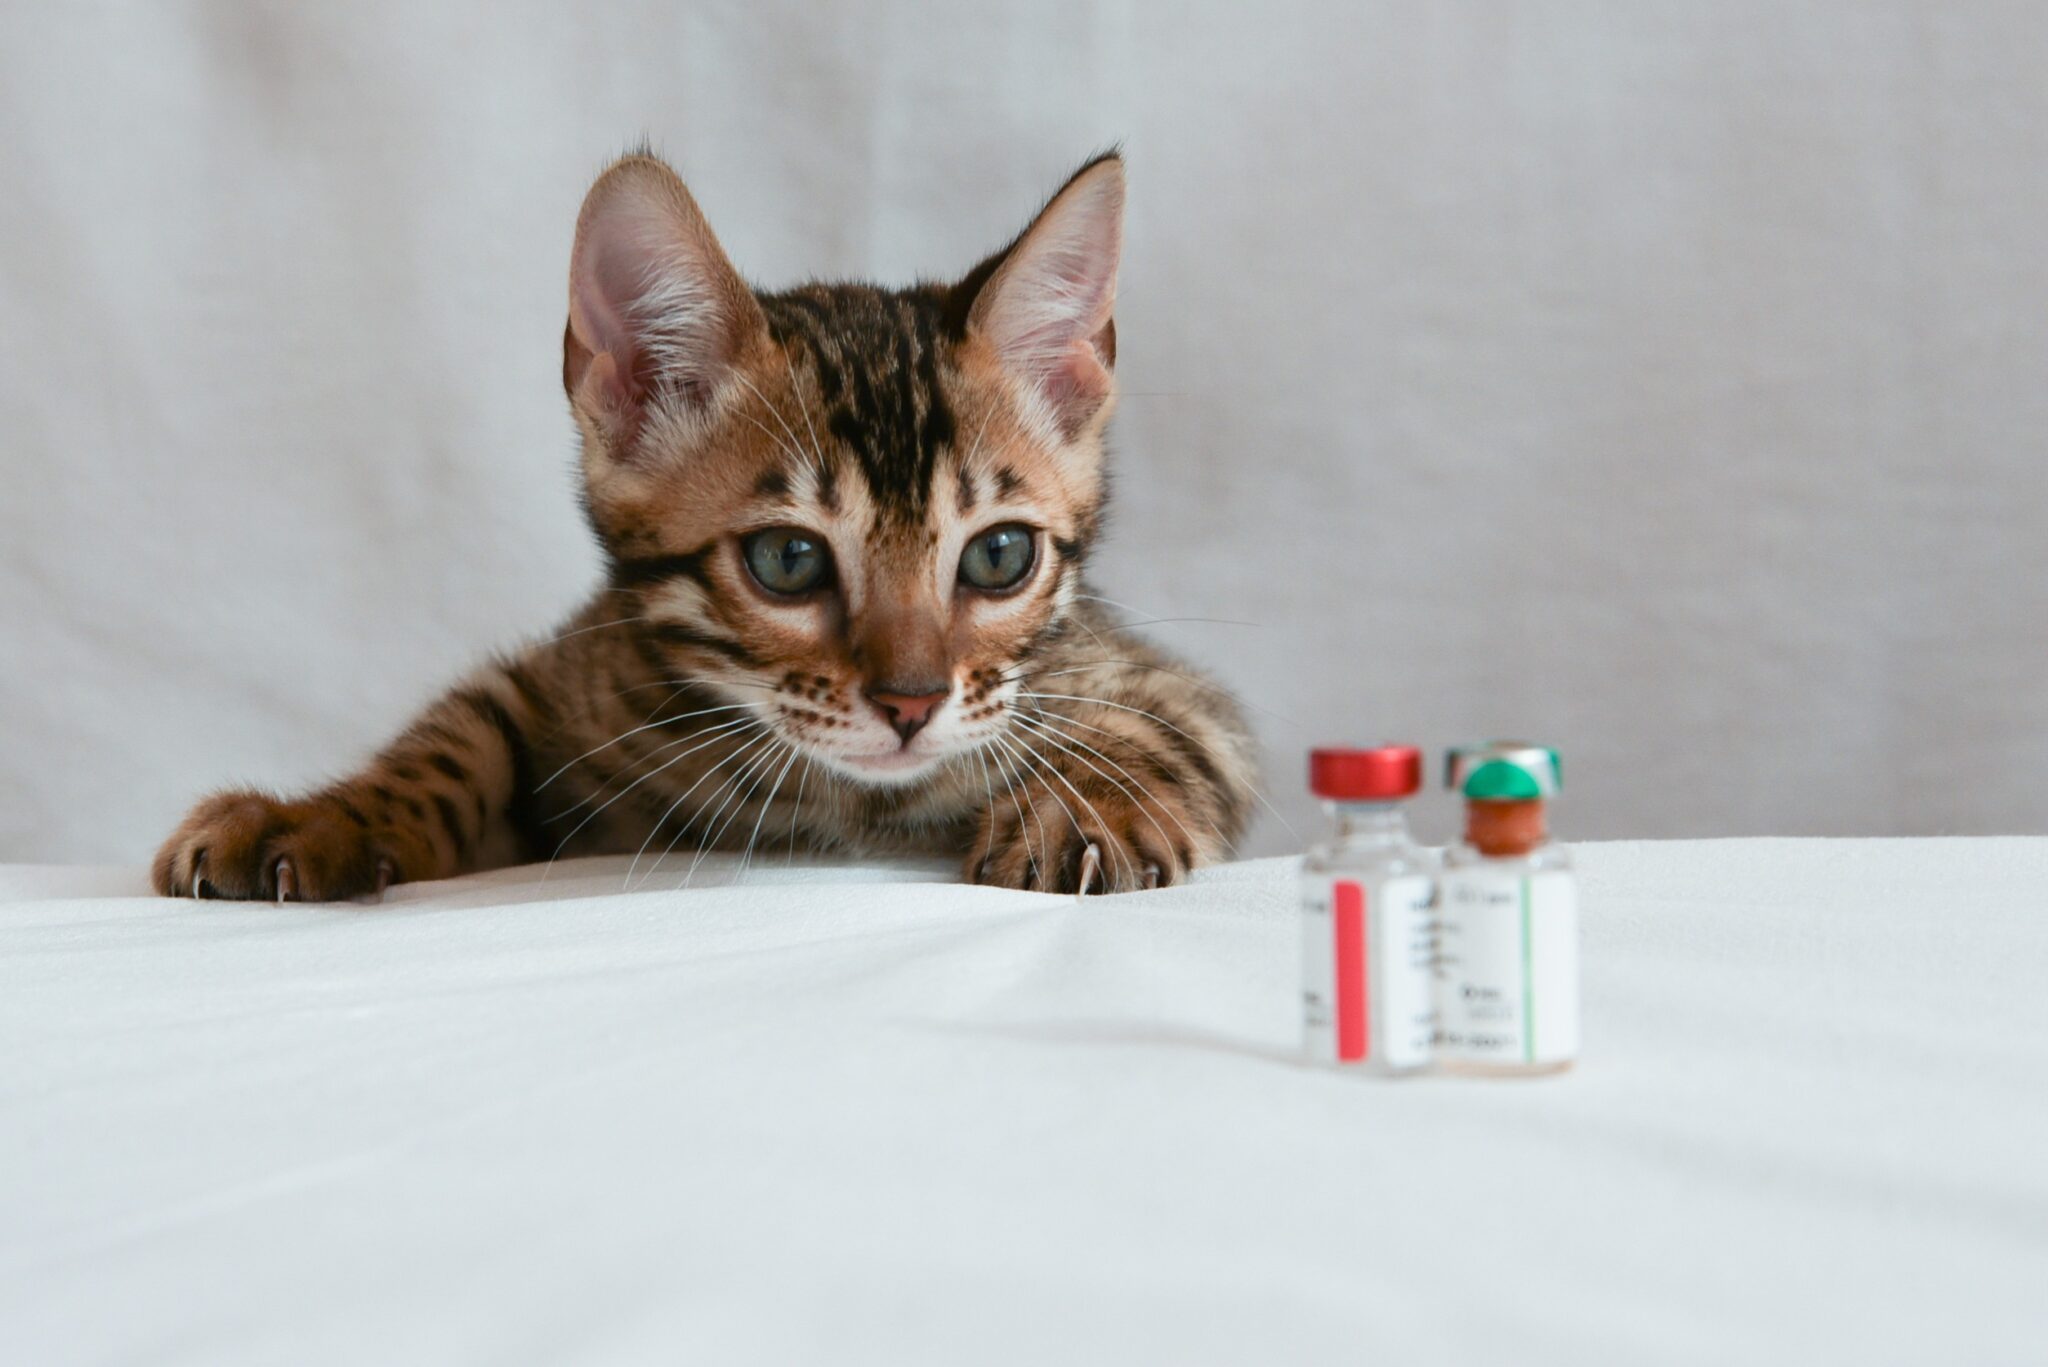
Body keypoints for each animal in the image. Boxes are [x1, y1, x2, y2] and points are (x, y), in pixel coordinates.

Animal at [148, 152, 1245, 897]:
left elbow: (1150, 729)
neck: (848, 798)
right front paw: (307, 818)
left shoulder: (1155, 683)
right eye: (788, 560)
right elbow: (450, 742)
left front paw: (1084, 808)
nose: (911, 702)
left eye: (1000, 555)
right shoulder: (575, 672)